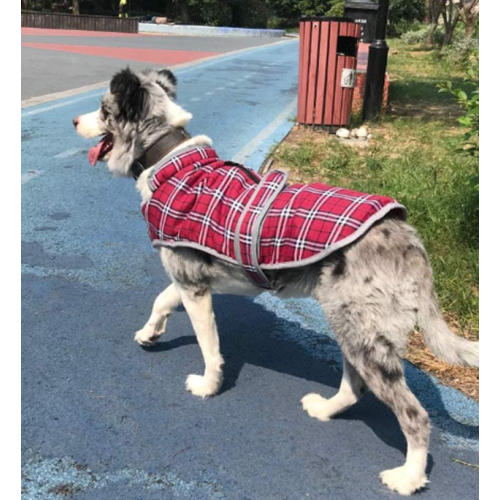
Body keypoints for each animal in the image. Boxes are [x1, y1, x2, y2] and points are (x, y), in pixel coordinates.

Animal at [75, 67, 480, 496]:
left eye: (103, 109)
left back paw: (409, 477)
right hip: (354, 328)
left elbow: (208, 346)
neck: (170, 161)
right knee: (354, 388)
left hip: (366, 337)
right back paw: (325, 409)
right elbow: (161, 300)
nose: (74, 121)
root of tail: (410, 240)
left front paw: (208, 385)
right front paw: (149, 333)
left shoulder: (195, 288)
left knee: (415, 415)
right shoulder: (187, 276)